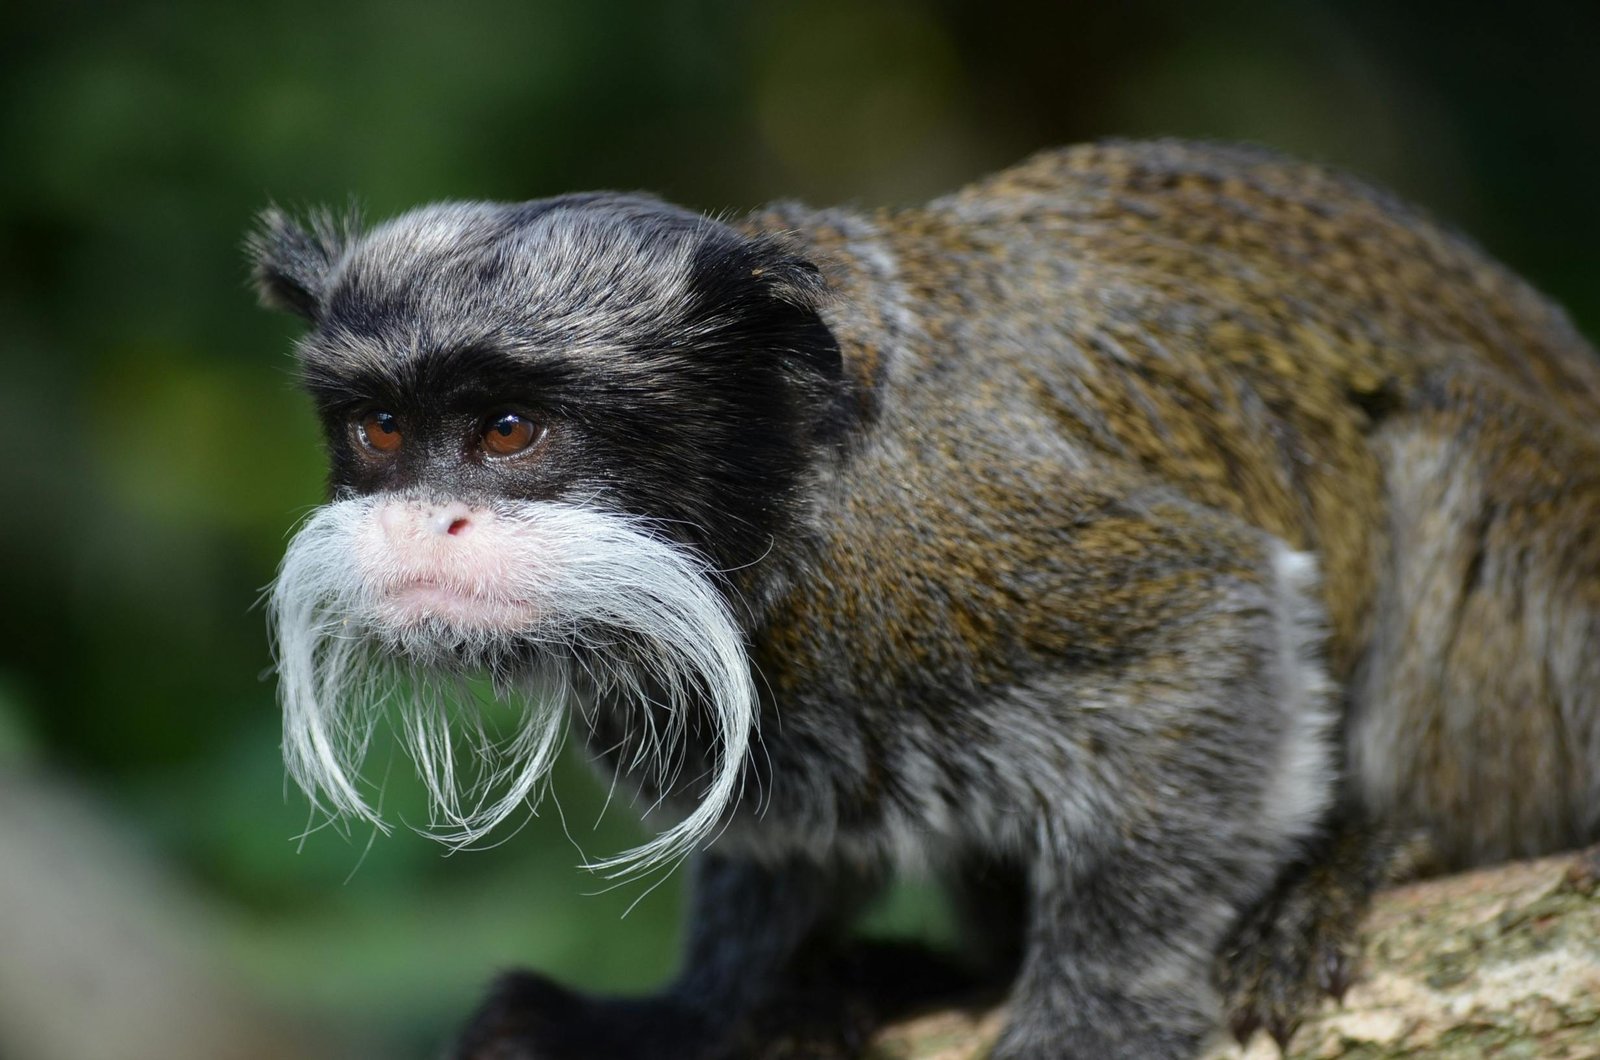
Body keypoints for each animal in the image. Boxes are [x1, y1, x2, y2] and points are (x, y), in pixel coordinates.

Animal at [250, 140, 1600, 1060]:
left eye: (508, 430)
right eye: (382, 430)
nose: (422, 524)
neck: (793, 486)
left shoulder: (950, 537)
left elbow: (1212, 623)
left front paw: (1091, 1022)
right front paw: (695, 1013)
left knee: (1447, 433)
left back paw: (1382, 848)